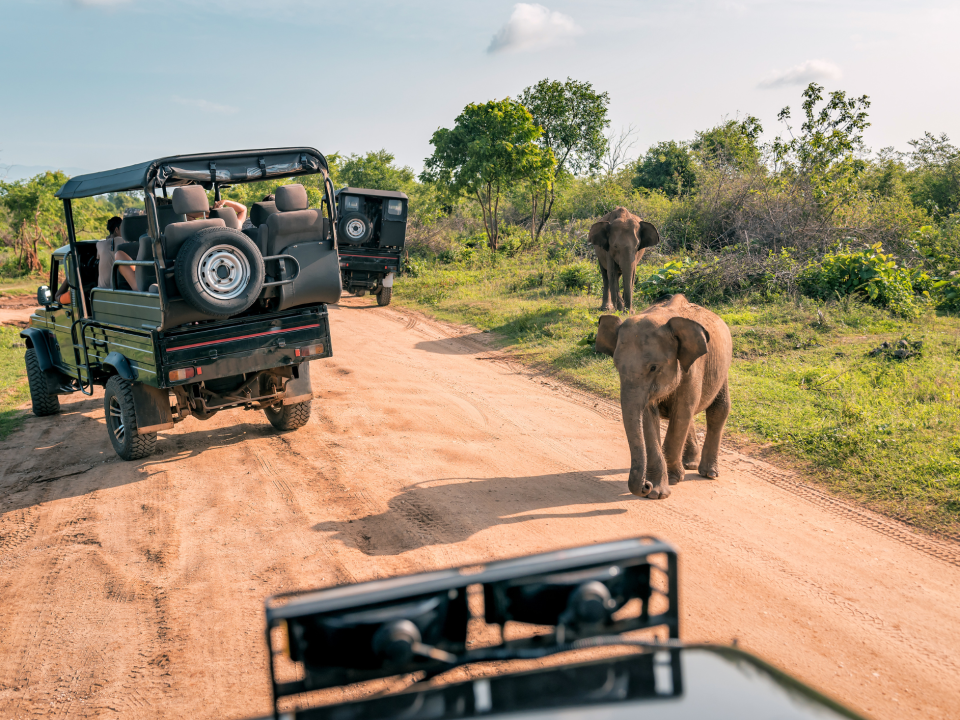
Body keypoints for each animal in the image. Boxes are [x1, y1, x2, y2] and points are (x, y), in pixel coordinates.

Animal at [595, 294, 732, 500]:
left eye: (653, 367)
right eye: (617, 367)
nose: (645, 485)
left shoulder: (693, 368)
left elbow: (682, 412)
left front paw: (673, 479)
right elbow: (648, 417)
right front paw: (657, 491)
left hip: (722, 370)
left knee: (718, 410)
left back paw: (708, 473)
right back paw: (689, 464)